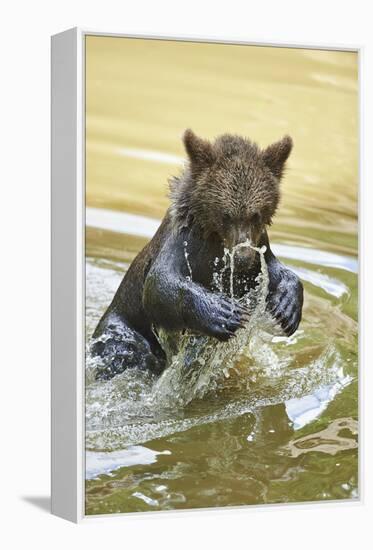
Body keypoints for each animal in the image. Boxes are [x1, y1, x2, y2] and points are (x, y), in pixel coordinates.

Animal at [91, 130, 304, 382]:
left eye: (256, 214)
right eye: (226, 214)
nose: (242, 259)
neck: (214, 237)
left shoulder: (259, 245)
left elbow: (274, 271)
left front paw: (287, 307)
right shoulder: (183, 244)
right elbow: (159, 284)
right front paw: (224, 312)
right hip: (122, 327)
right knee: (124, 349)